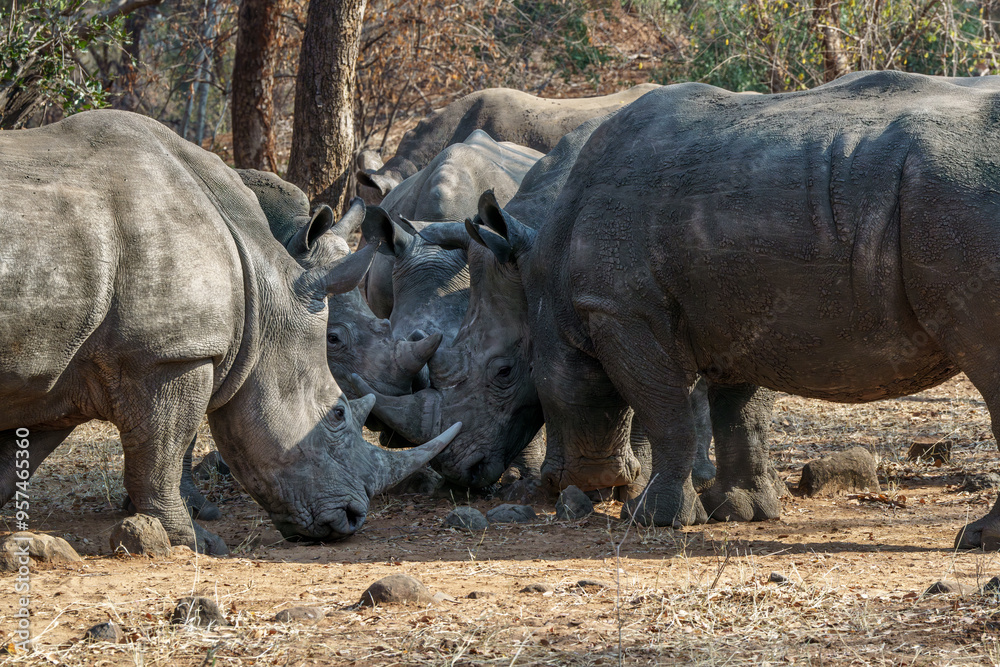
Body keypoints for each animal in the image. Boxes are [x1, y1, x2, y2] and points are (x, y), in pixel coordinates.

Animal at [0, 110, 460, 553]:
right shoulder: (173, 350)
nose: (352, 519)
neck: (264, 264)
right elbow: (164, 447)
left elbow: (20, 452)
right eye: (337, 413)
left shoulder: (57, 364)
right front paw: (191, 538)